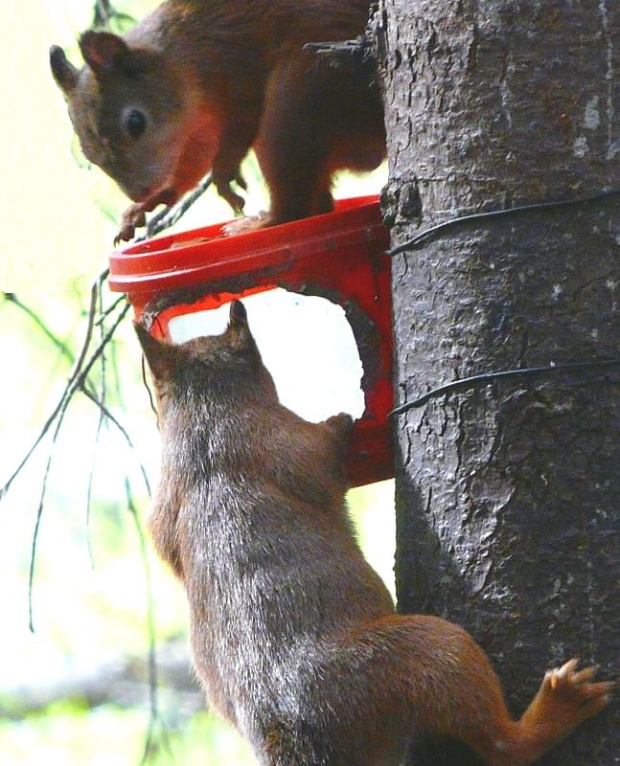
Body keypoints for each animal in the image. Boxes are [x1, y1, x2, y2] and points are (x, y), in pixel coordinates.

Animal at [49, 0, 388, 242]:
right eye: (88, 154)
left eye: (135, 123)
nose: (140, 192)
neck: (180, 58)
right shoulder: (196, 134)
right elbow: (192, 165)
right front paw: (147, 205)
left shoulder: (235, 71)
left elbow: (239, 129)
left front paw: (224, 175)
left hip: (302, 94)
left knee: (296, 206)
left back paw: (262, 223)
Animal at [133, 300, 612, 766]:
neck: (204, 417)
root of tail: (293, 738)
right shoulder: (282, 443)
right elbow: (322, 456)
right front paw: (341, 421)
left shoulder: (163, 508)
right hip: (423, 654)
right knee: (501, 745)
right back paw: (558, 705)